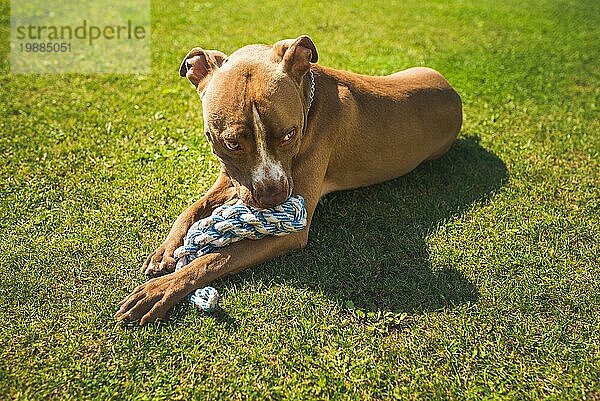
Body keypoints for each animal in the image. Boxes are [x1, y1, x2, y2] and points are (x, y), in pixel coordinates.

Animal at [117, 33, 464, 322]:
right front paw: (166, 250)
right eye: (231, 144)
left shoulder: (289, 231)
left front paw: (163, 289)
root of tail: (454, 92)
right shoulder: (230, 179)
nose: (271, 195)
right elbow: (192, 209)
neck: (308, 99)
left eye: (289, 134)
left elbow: (214, 258)